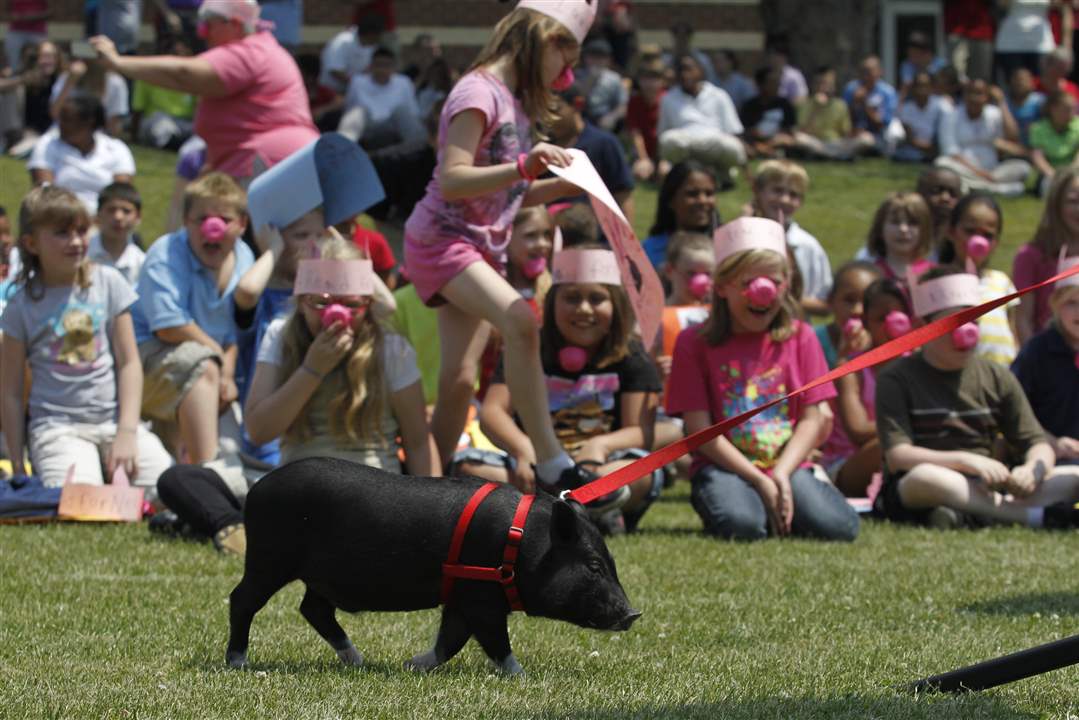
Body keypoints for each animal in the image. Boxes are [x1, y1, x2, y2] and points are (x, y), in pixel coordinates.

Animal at [223, 459, 634, 673]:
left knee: (313, 609)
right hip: (269, 558)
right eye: (593, 566)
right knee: (241, 599)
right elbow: (494, 640)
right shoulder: (482, 595)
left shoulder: (462, 597)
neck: (521, 546)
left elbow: (450, 639)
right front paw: (522, 676)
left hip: (315, 575)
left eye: (611, 562)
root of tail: (256, 489)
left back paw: (358, 661)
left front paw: (411, 665)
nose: (633, 614)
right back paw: (238, 662)